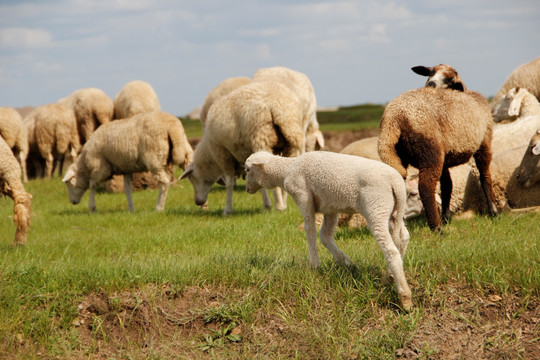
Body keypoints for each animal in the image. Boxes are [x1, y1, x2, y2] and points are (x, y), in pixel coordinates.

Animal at [62, 109, 193, 211]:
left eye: (68, 183)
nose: (72, 202)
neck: (85, 164)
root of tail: (172, 127)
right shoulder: (126, 169)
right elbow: (127, 189)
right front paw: (131, 209)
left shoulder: (100, 168)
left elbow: (92, 185)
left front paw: (92, 207)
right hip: (184, 150)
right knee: (192, 173)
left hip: (155, 158)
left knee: (164, 183)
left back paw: (159, 208)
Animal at [179, 80, 306, 215]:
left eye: (191, 178)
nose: (198, 202)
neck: (210, 155)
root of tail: (276, 105)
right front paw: (266, 205)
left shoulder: (223, 154)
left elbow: (229, 183)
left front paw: (228, 210)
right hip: (292, 135)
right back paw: (284, 203)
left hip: (261, 136)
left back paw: (280, 206)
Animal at [243, 150, 412, 310]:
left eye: (247, 169)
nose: (247, 189)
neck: (286, 169)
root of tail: (396, 183)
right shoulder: (330, 207)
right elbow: (325, 236)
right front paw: (346, 262)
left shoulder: (303, 196)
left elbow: (310, 230)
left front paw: (314, 266)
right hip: (395, 210)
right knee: (403, 237)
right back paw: (389, 277)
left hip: (376, 206)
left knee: (391, 250)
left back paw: (405, 297)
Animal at [376, 87, 498, 231]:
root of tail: (394, 118)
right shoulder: (484, 143)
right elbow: (485, 178)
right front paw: (493, 212)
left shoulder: (444, 157)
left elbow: (447, 185)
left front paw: (446, 217)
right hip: (431, 153)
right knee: (426, 188)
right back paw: (437, 228)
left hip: (398, 156)